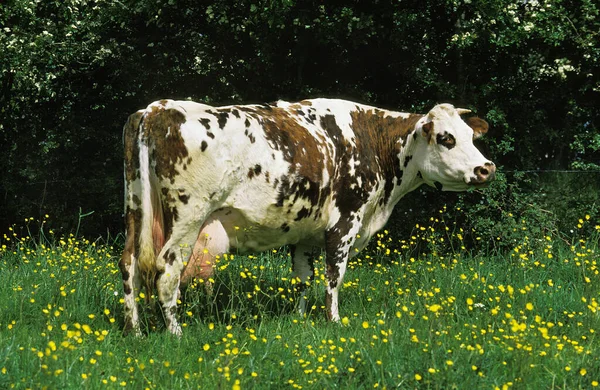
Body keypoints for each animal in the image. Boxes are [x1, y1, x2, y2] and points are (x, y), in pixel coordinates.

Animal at [119, 97, 494, 336]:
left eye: (471, 135)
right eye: (446, 138)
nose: (486, 168)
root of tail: (157, 108)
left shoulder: (304, 233)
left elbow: (303, 277)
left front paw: (298, 317)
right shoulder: (345, 221)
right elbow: (334, 277)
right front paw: (334, 321)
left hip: (136, 208)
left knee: (130, 265)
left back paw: (134, 331)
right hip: (187, 217)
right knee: (167, 271)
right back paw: (175, 333)